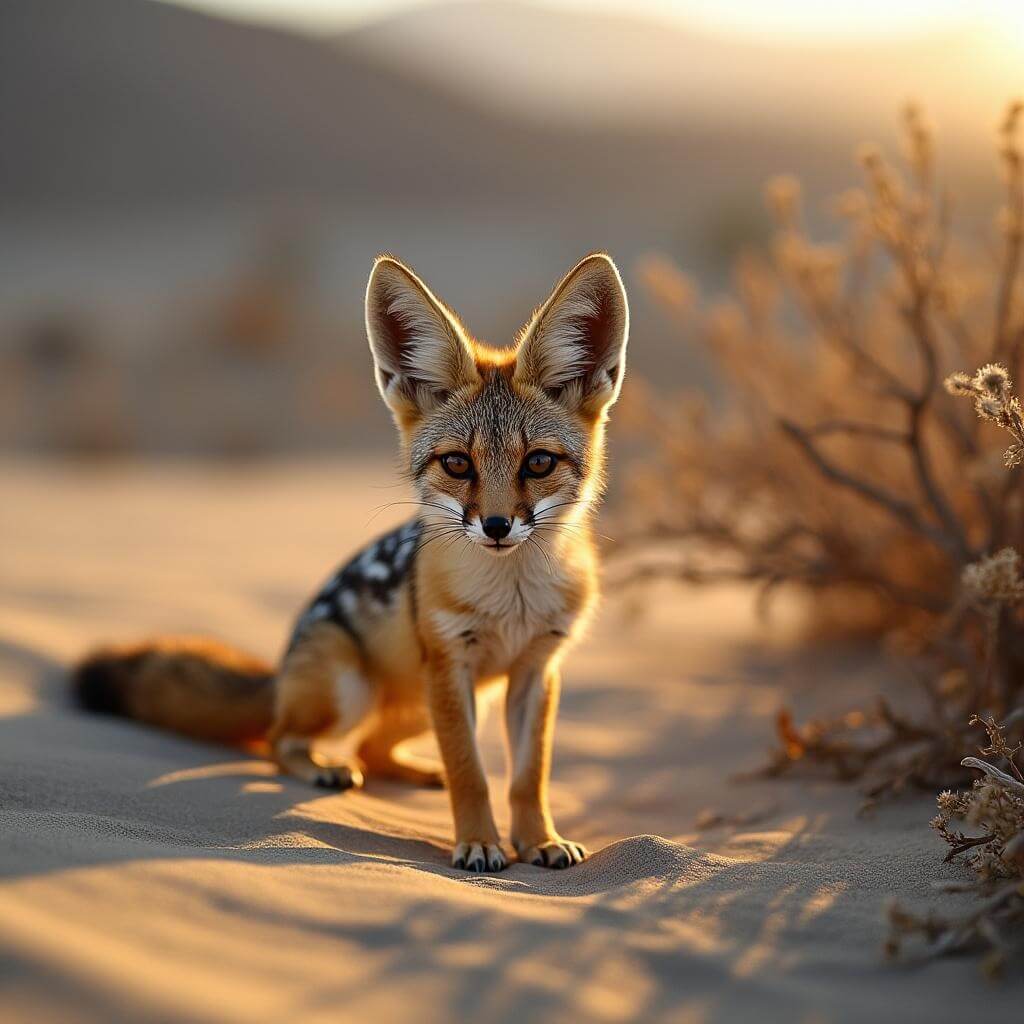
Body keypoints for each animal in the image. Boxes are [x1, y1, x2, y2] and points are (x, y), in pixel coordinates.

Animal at [73, 251, 629, 872]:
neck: (513, 600)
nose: (496, 526)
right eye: (458, 464)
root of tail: (281, 666)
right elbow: (471, 773)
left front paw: (539, 840)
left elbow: (527, 777)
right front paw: (480, 843)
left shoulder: (537, 669)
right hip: (355, 690)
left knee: (371, 747)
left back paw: (414, 772)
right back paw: (324, 767)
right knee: (281, 740)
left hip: (432, 702)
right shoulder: (450, 665)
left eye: (537, 463)